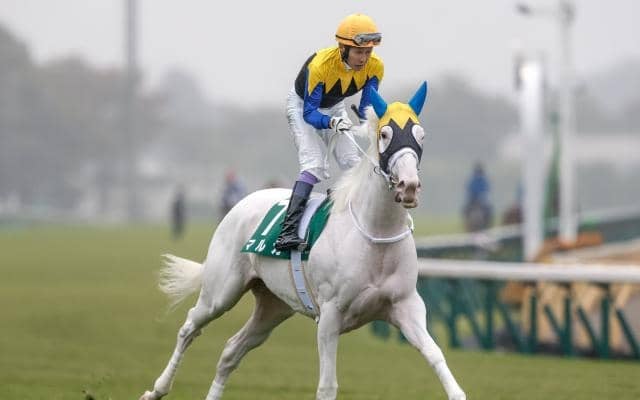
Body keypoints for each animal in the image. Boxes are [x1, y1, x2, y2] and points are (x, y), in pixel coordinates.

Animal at [139, 83, 466, 400]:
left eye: (421, 135)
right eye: (385, 134)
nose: (409, 186)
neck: (376, 235)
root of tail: (241, 203)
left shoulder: (406, 306)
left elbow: (436, 355)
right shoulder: (330, 315)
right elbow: (327, 385)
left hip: (273, 306)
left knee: (232, 350)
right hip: (221, 292)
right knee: (190, 327)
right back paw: (156, 389)